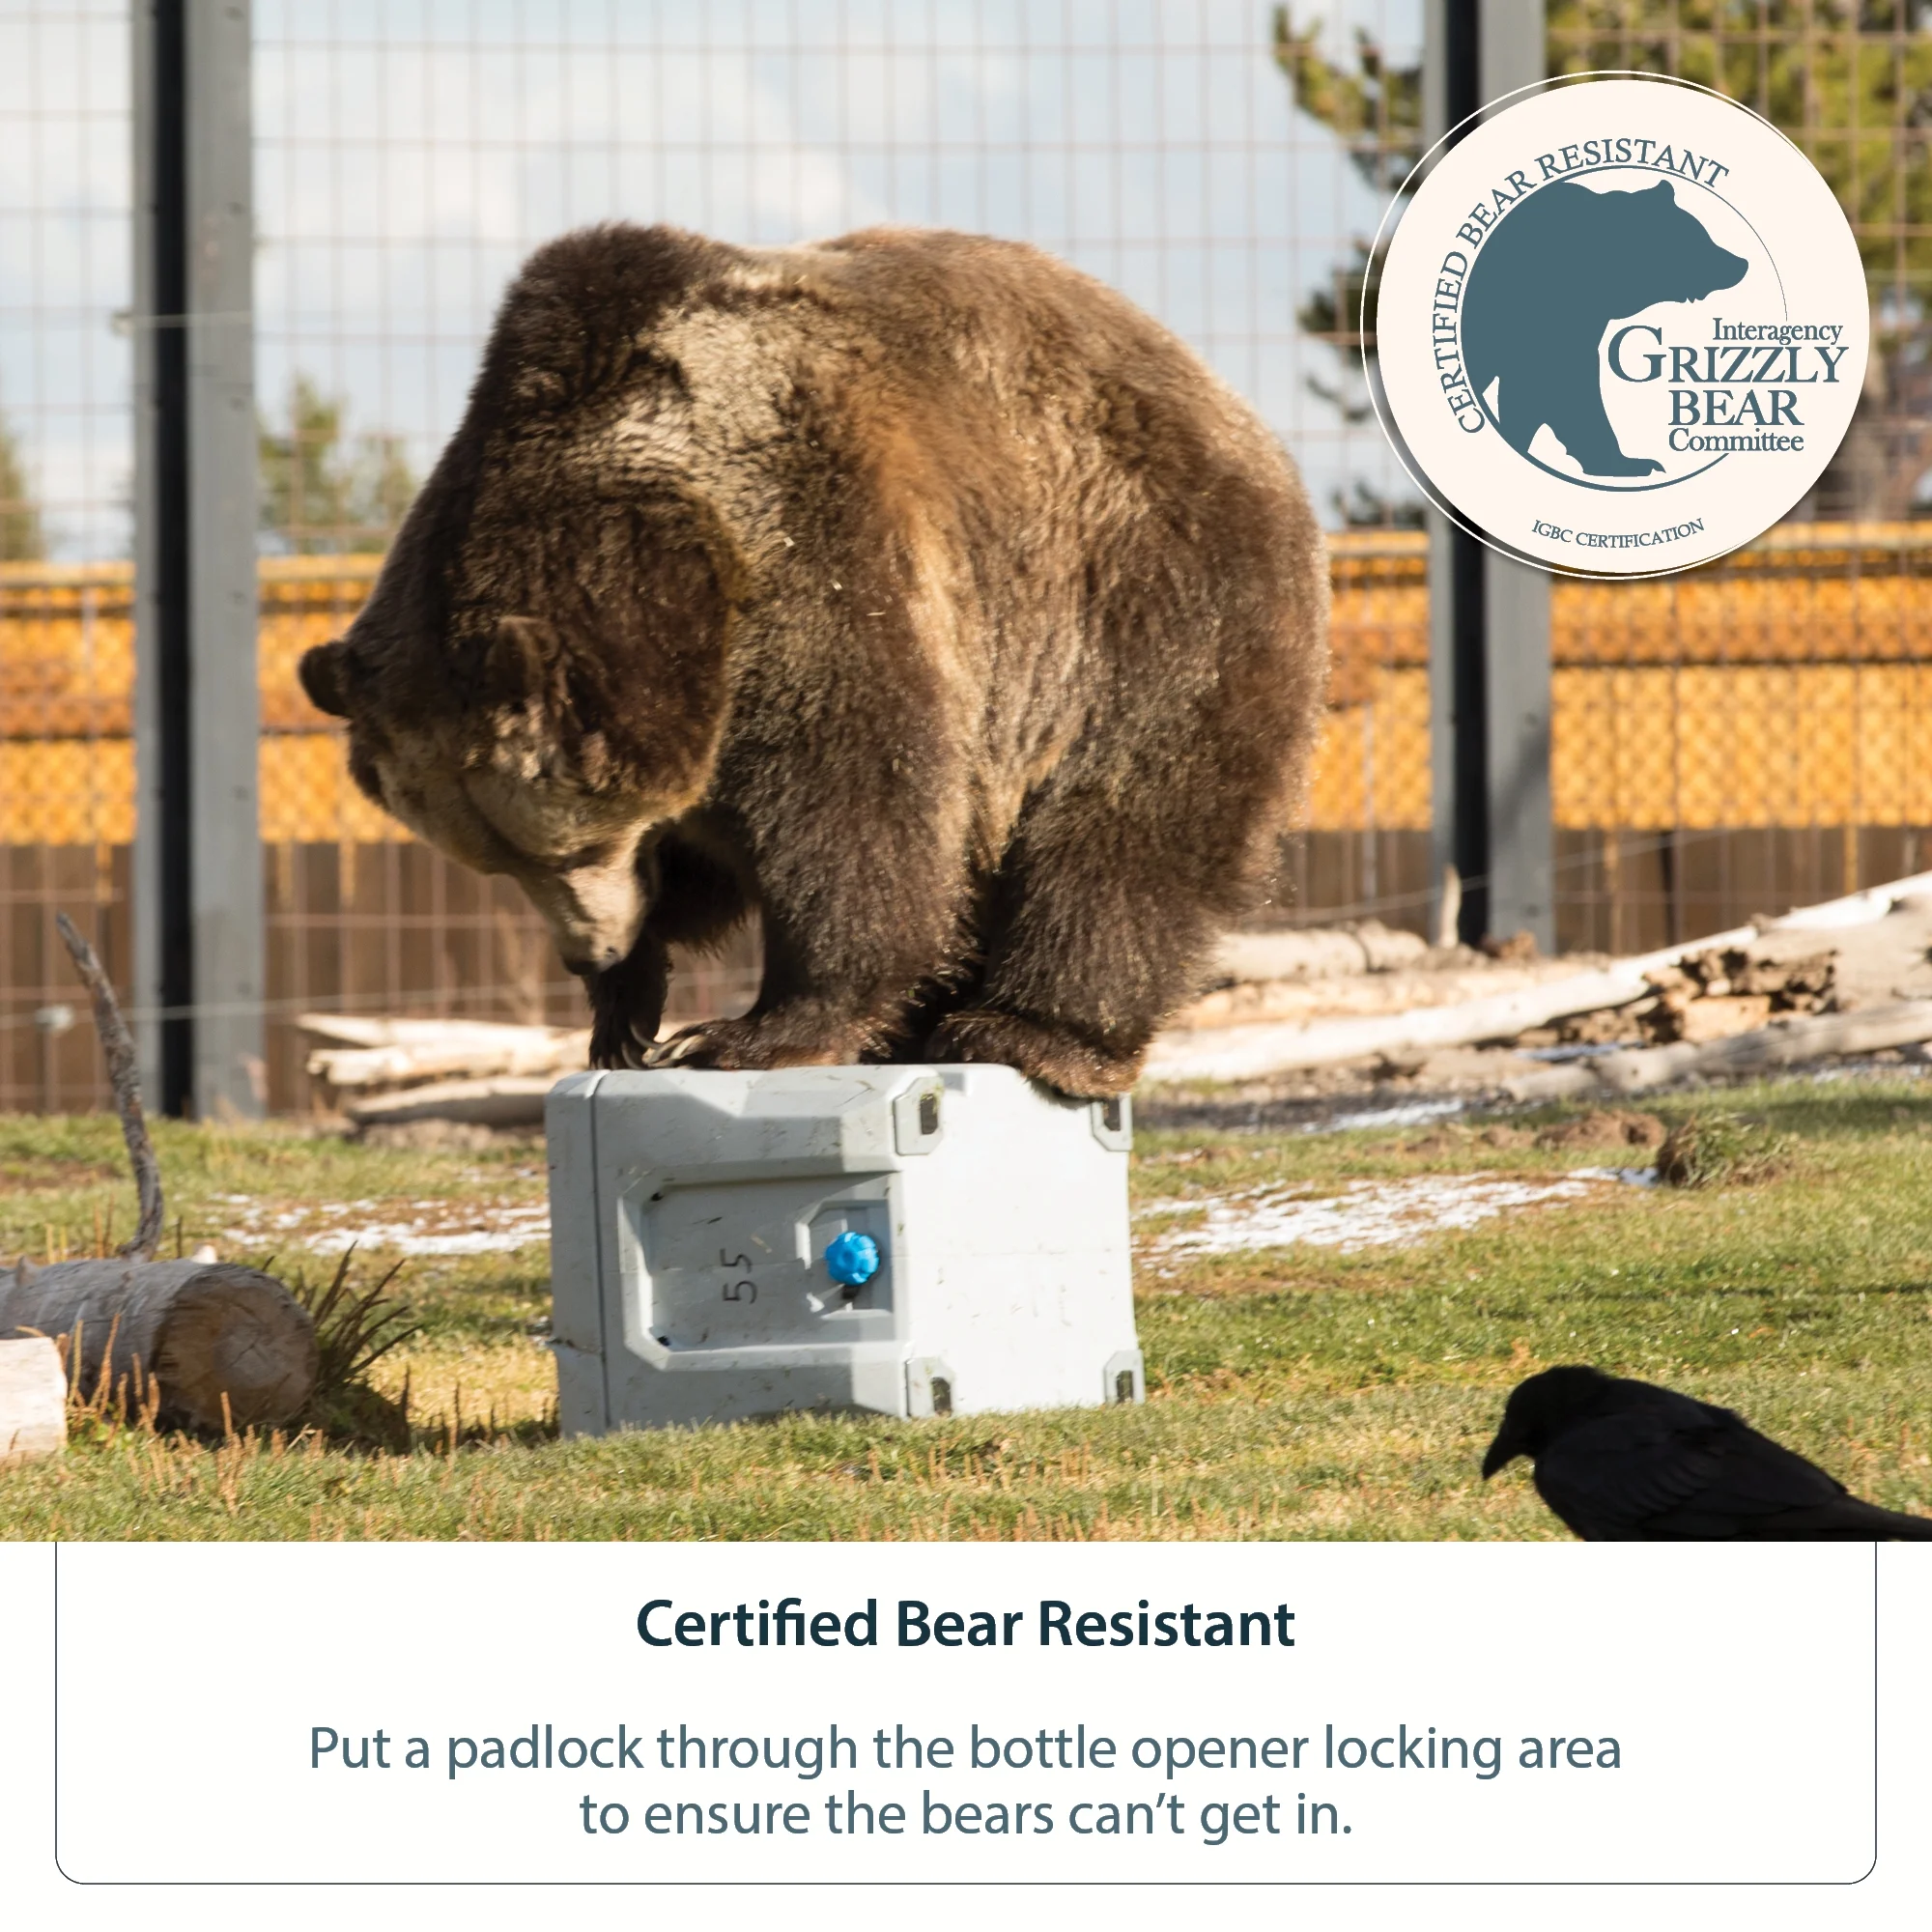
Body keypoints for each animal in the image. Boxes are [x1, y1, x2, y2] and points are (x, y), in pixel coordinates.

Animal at [297, 223, 1329, 1098]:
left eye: (570, 846)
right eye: (497, 866)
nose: (589, 954)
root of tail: (1223, 399)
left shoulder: (817, 552)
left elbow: (854, 805)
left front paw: (741, 1033)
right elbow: (711, 859)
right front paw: (626, 1013)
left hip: (1135, 589)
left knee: (1124, 819)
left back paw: (1028, 1032)